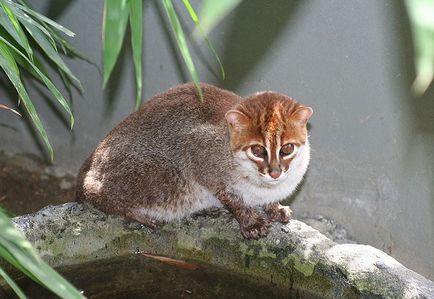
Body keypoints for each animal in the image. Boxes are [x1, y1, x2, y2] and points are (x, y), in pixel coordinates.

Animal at [75, 83, 312, 240]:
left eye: (287, 149)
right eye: (258, 150)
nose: (275, 172)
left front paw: (275, 208)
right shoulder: (196, 151)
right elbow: (232, 198)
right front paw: (250, 220)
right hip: (163, 179)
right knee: (94, 191)